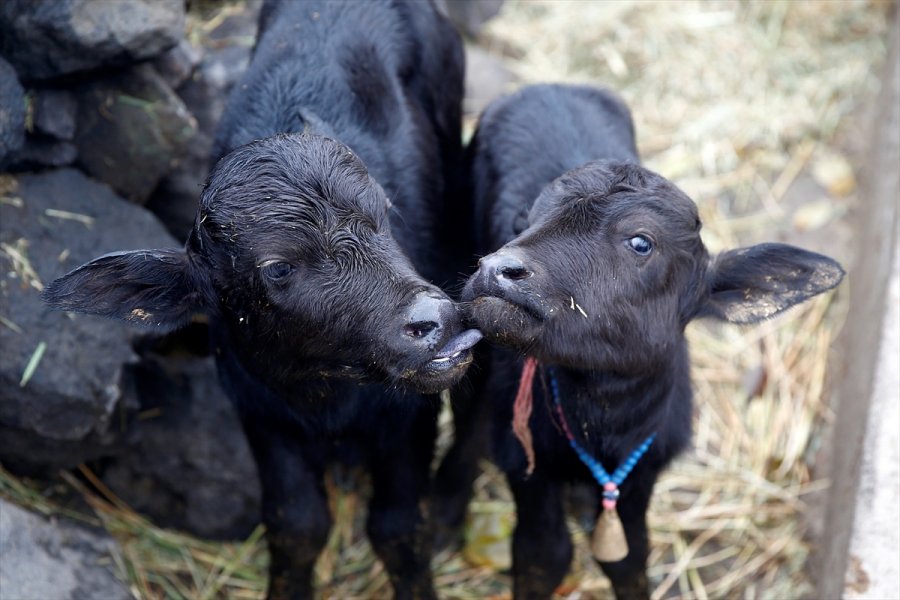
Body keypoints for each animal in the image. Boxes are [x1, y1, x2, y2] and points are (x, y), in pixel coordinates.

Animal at [45, 2, 474, 596]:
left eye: (385, 213)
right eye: (279, 268)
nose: (432, 320)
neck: (328, 397)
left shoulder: (409, 416)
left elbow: (399, 527)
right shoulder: (261, 413)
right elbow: (296, 525)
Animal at [460, 84, 848, 600]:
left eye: (641, 242)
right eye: (528, 221)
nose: (498, 269)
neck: (605, 421)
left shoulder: (643, 476)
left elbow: (630, 560)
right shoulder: (528, 470)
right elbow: (543, 557)